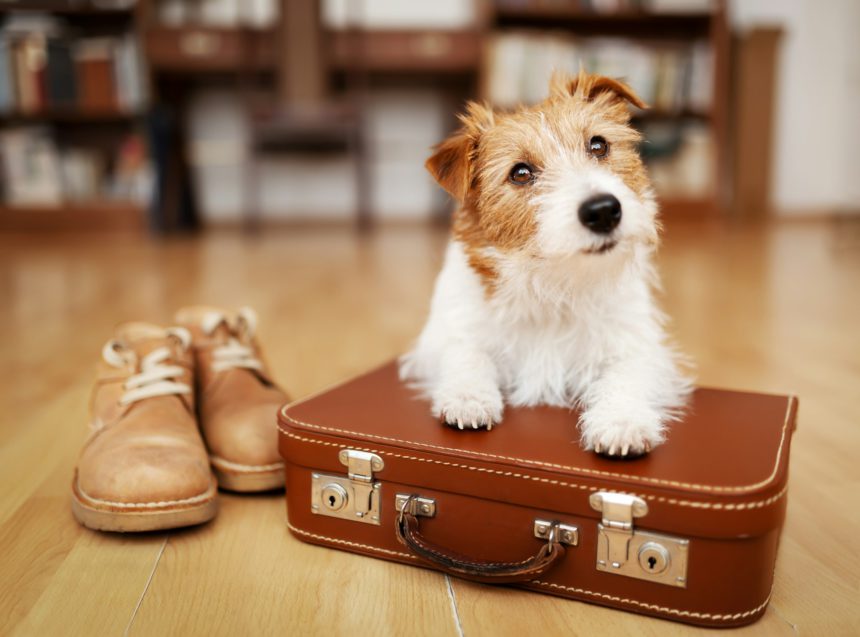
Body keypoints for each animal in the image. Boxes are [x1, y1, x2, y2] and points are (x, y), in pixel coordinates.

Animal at [398, 71, 692, 458]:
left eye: (598, 146)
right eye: (520, 173)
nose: (603, 210)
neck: (554, 282)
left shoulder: (637, 346)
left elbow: (626, 376)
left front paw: (621, 421)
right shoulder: (446, 336)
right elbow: (466, 354)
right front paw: (468, 397)